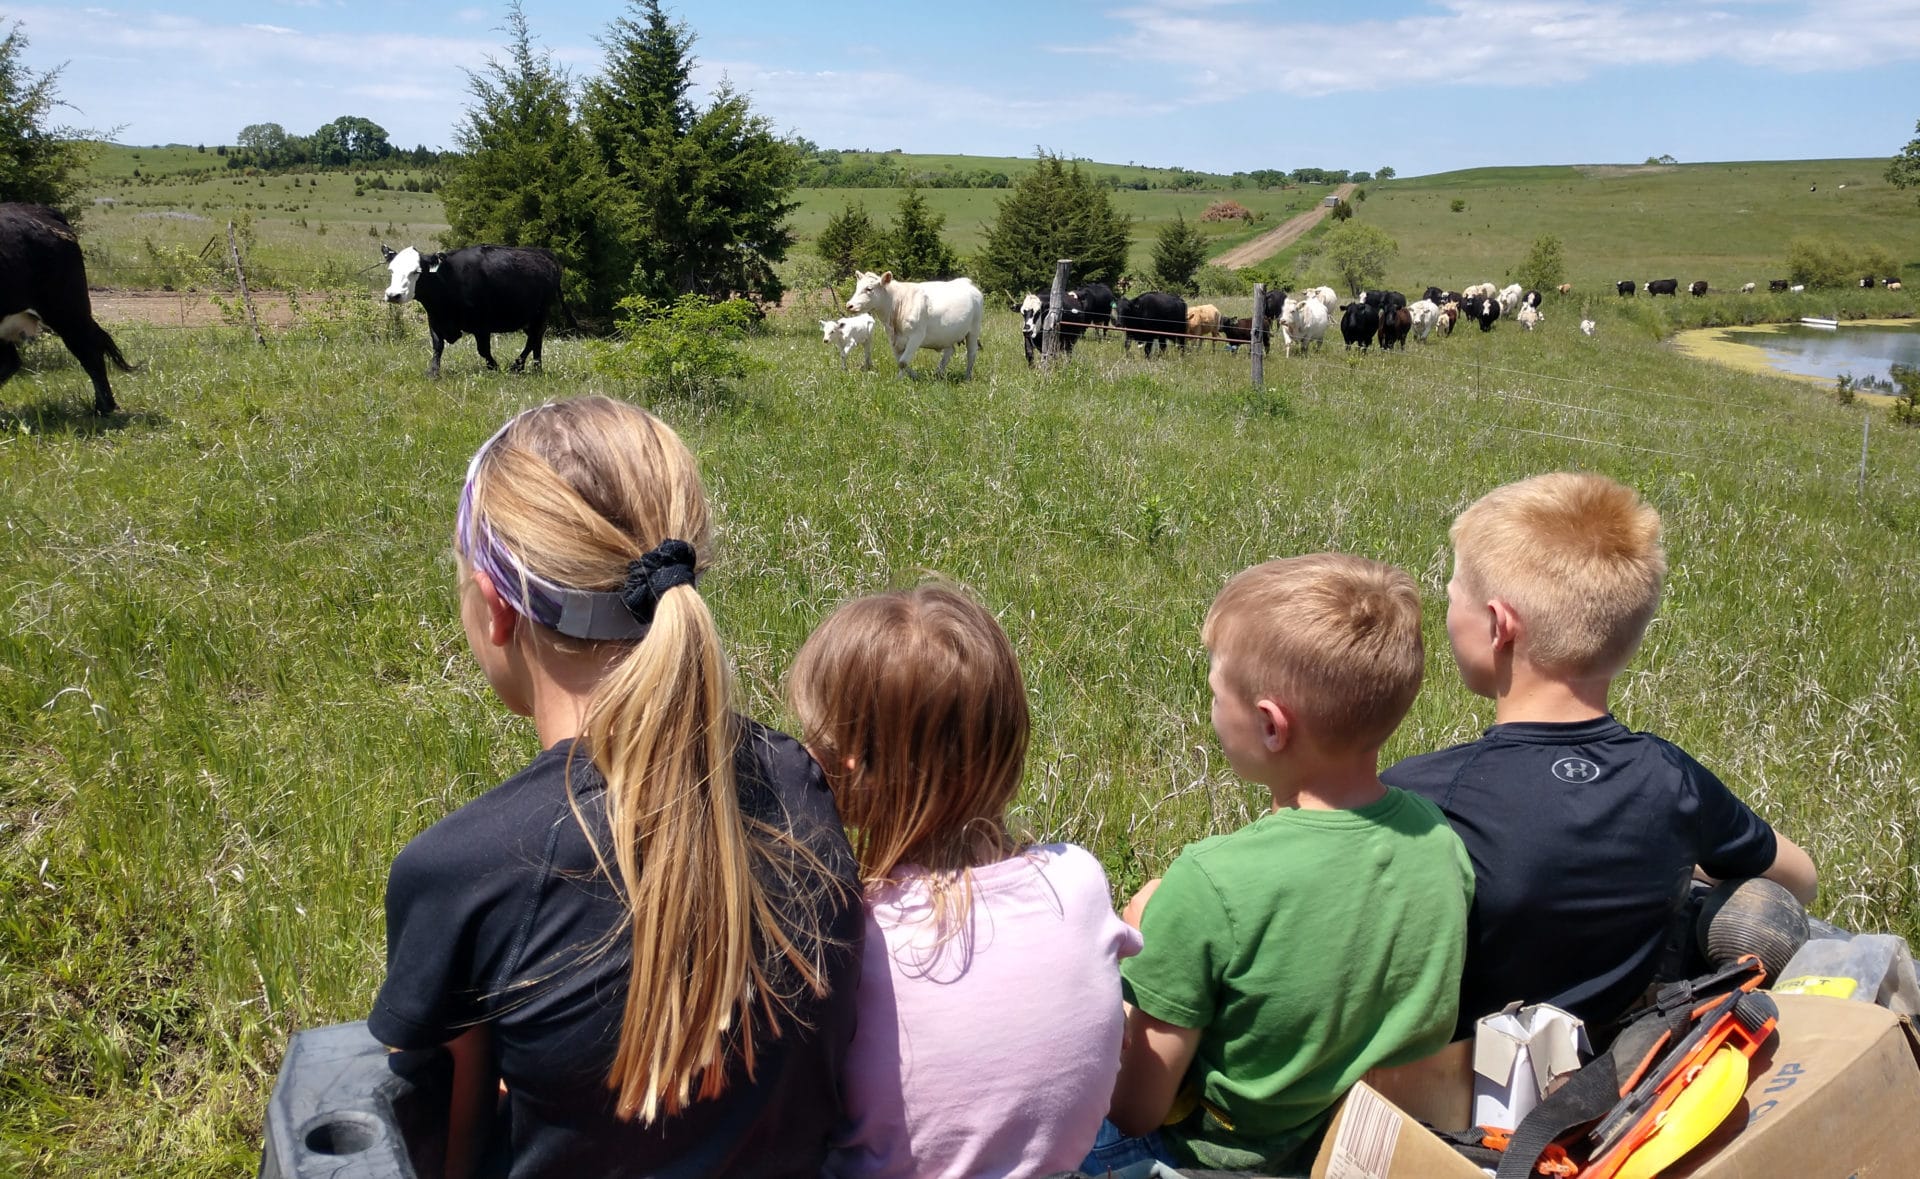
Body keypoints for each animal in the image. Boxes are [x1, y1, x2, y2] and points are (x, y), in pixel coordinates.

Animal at [380, 244, 560, 378]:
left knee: (533, 339)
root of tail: (542, 253)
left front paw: (495, 368)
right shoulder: (435, 320)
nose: (393, 295)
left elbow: (483, 350)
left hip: (540, 315)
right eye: (391, 270)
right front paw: (433, 373)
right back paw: (536, 368)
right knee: (536, 341)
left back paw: (517, 366)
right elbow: (438, 347)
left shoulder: (482, 326)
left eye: (416, 271)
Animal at [848, 270, 983, 378]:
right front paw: (914, 376)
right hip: (946, 336)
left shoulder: (916, 336)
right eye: (857, 287)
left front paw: (898, 380)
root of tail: (967, 282)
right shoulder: (892, 339)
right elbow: (900, 360)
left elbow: (903, 362)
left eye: (869, 289)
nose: (849, 305)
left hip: (974, 330)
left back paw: (967, 377)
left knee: (971, 353)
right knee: (949, 352)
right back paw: (938, 374)